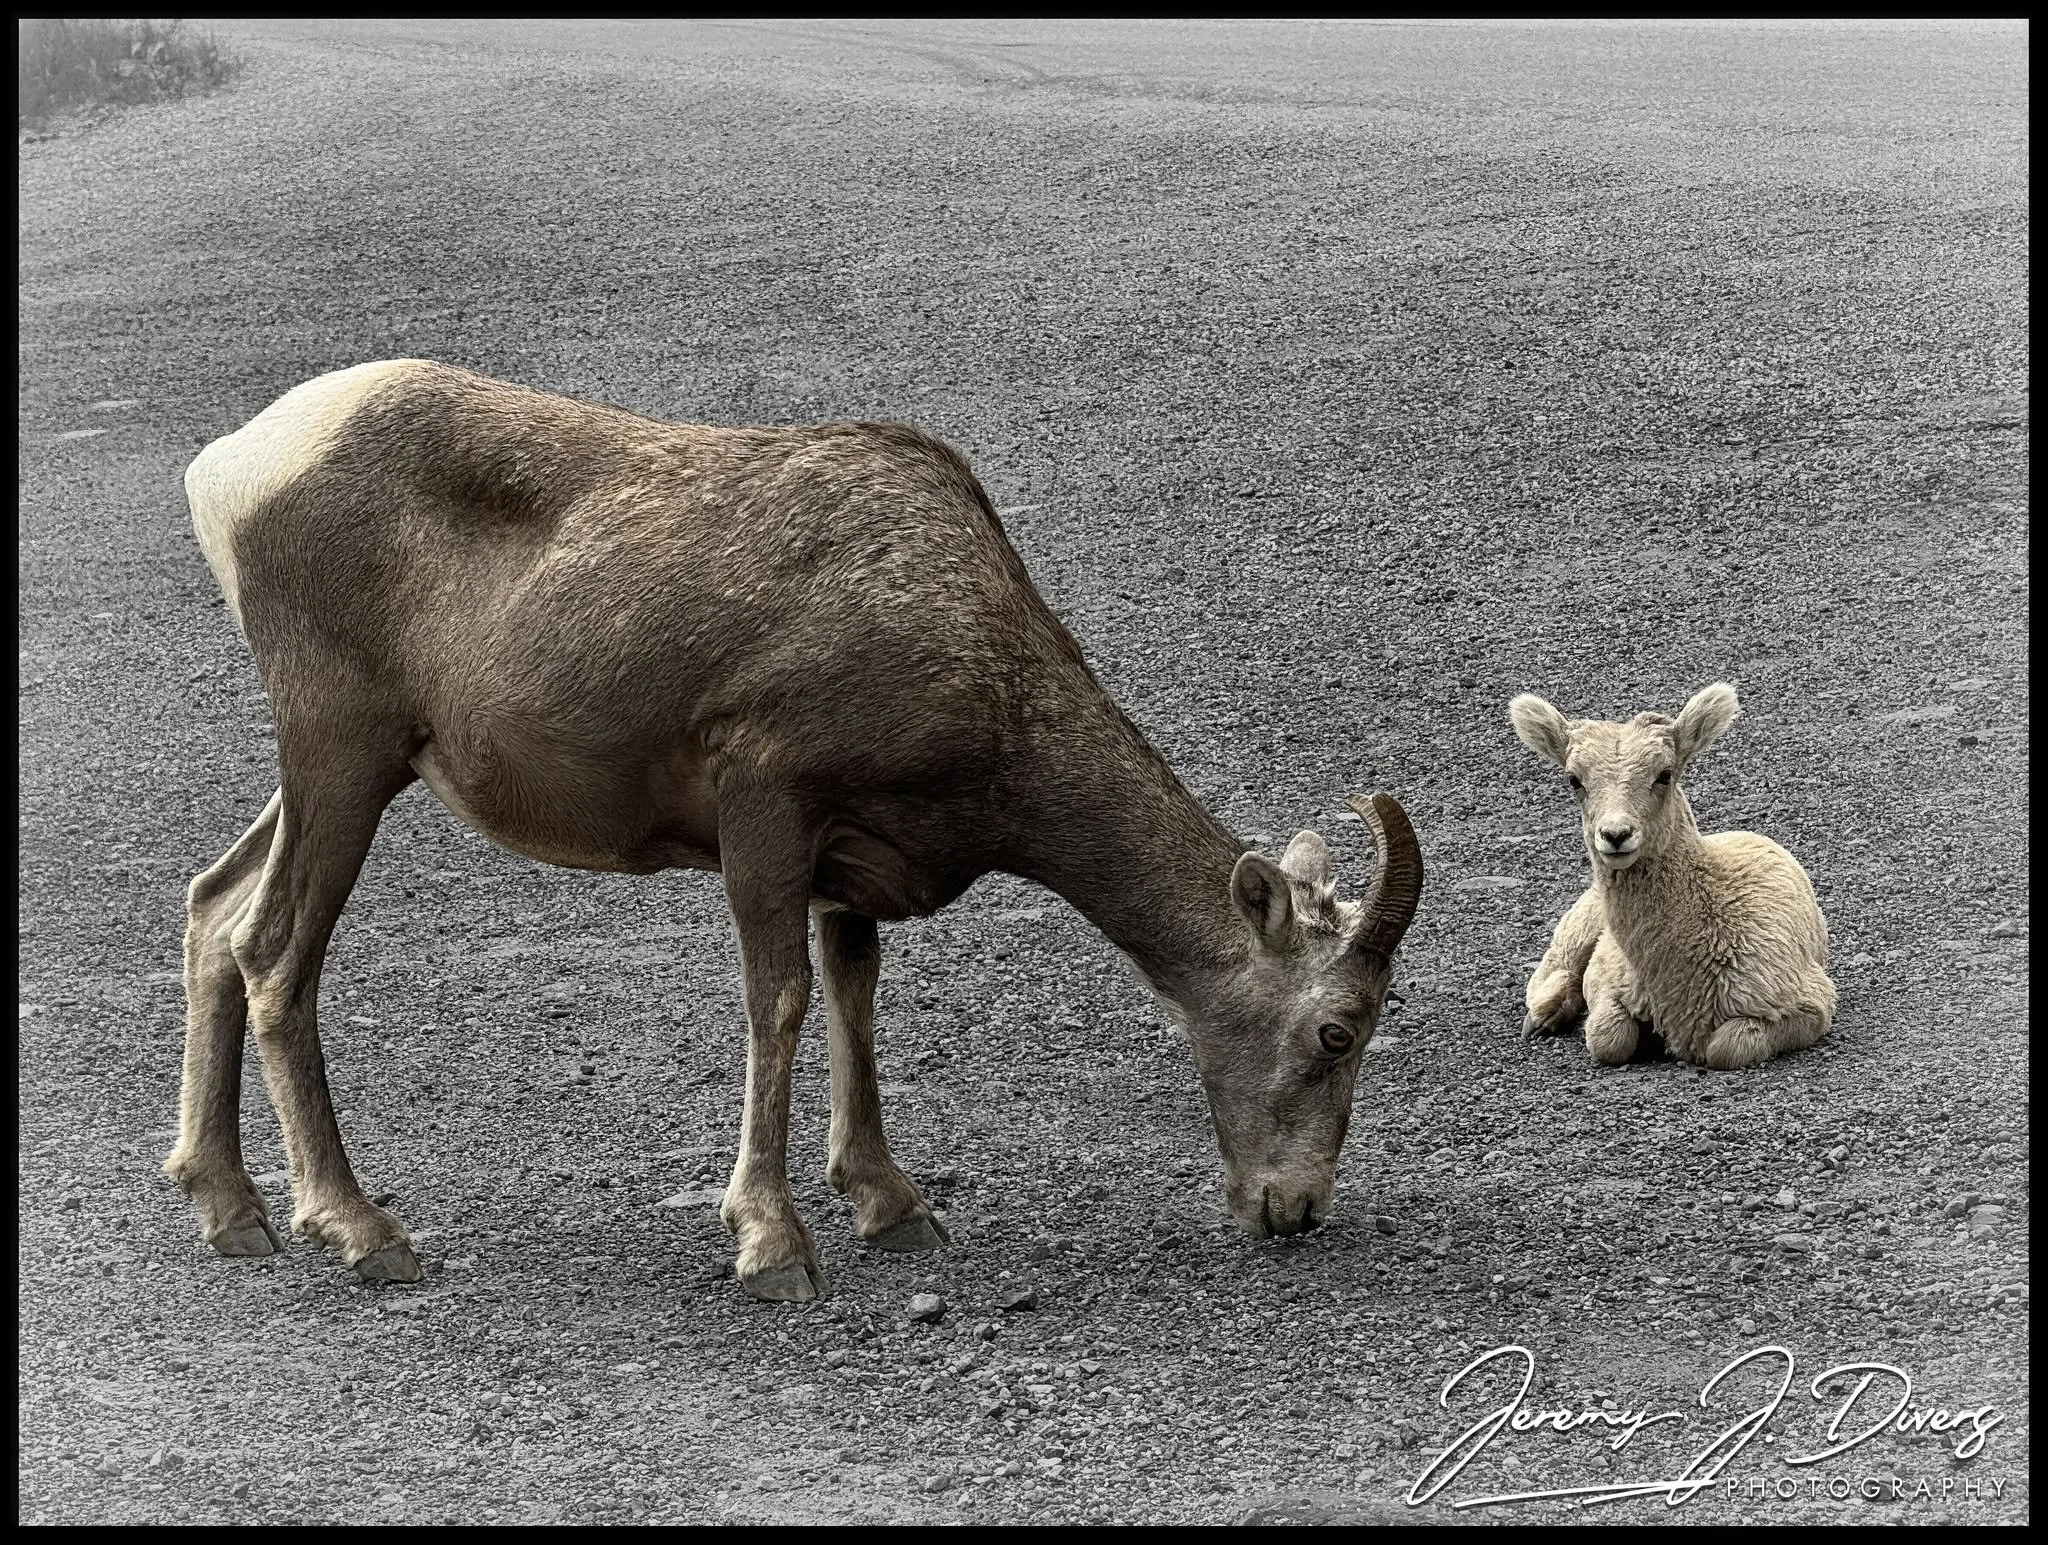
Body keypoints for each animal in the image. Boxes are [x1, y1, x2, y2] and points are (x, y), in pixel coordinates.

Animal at [1508, 682, 1835, 1070]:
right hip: (1580, 923)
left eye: (1665, 774)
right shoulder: (1606, 980)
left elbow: (1726, 1048)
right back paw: (1542, 1018)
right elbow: (1608, 1039)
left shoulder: (1810, 1004)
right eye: (1574, 780)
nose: (1615, 835)